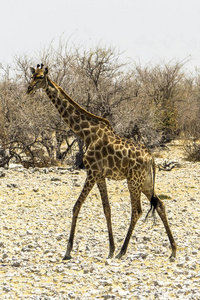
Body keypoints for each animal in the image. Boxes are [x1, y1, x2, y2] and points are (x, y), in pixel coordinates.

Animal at [27, 63, 177, 260]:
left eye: (40, 77)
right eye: (31, 75)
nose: (28, 88)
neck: (87, 133)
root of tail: (151, 157)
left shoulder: (92, 172)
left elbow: (77, 206)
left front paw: (68, 251)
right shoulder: (100, 175)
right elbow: (107, 209)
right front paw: (110, 249)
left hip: (133, 180)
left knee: (137, 210)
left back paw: (123, 251)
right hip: (145, 182)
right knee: (160, 204)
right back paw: (173, 250)